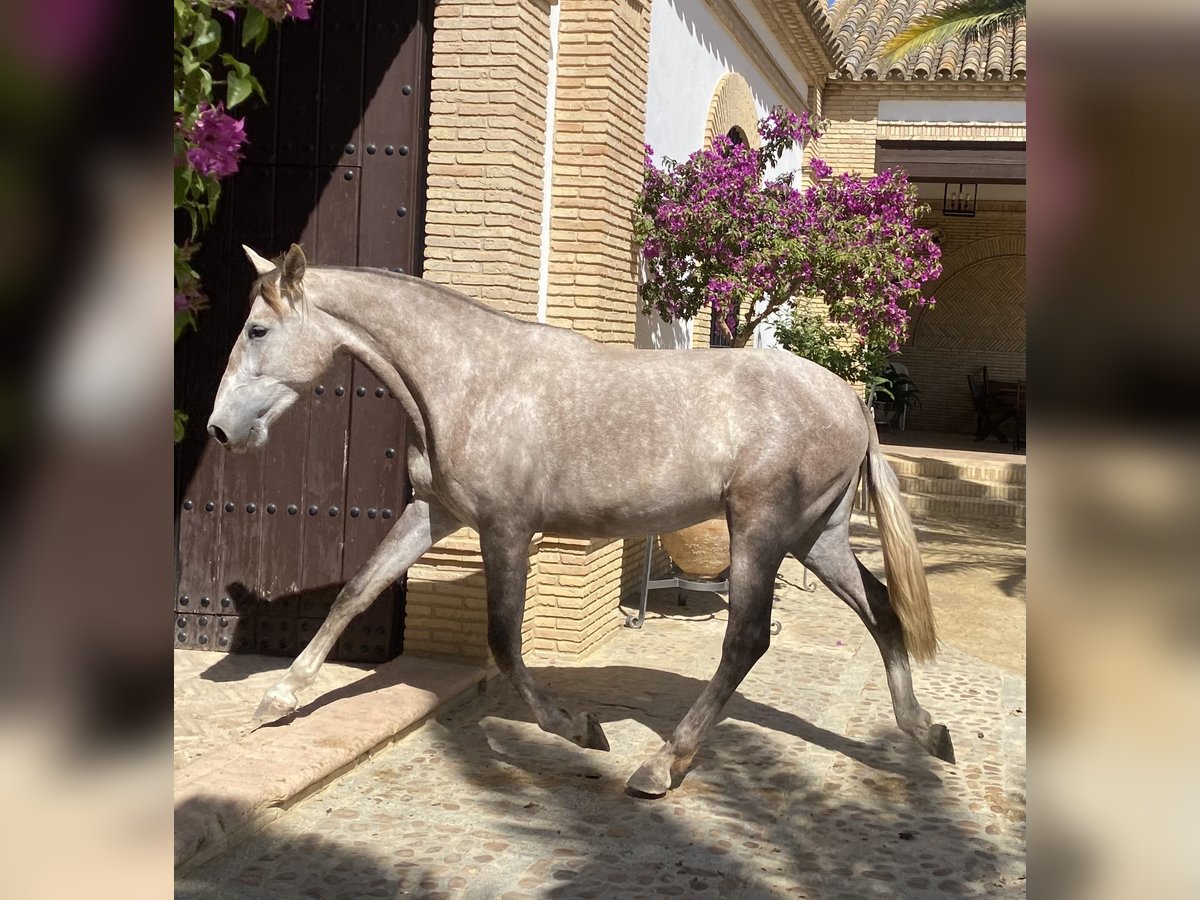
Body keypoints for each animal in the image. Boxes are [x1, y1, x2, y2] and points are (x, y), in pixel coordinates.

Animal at [208, 244, 955, 796]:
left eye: (258, 330)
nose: (219, 429)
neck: (473, 381)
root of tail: (852, 402)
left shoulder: (507, 530)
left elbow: (504, 642)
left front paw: (579, 728)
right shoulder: (435, 514)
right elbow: (355, 592)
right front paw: (279, 699)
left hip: (761, 531)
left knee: (746, 639)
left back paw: (661, 766)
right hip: (815, 536)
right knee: (881, 609)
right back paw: (925, 731)